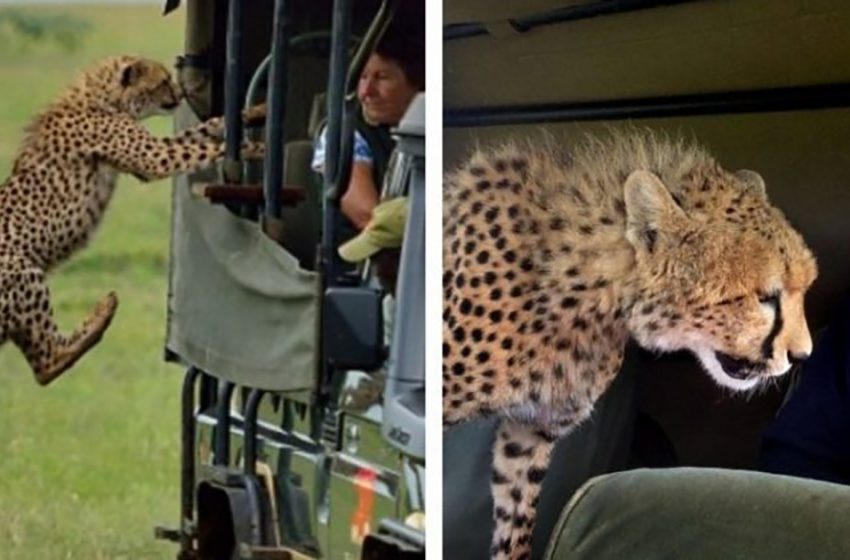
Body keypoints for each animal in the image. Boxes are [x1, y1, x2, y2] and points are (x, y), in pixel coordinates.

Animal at [0, 57, 264, 388]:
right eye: (162, 82)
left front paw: (253, 113)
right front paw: (254, 148)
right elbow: (201, 149)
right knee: (47, 365)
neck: (103, 98)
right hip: (21, 270)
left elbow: (203, 130)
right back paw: (102, 315)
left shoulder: (149, 152)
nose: (180, 94)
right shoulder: (153, 158)